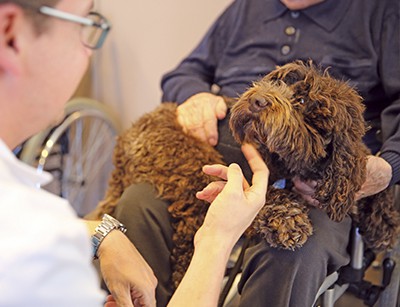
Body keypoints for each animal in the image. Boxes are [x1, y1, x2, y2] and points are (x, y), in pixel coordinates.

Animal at [87, 61, 400, 290]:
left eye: (300, 100)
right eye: (277, 82)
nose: (258, 100)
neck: (293, 163)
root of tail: (123, 142)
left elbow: (367, 171)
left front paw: (385, 221)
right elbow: (270, 194)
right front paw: (288, 218)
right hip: (187, 165)